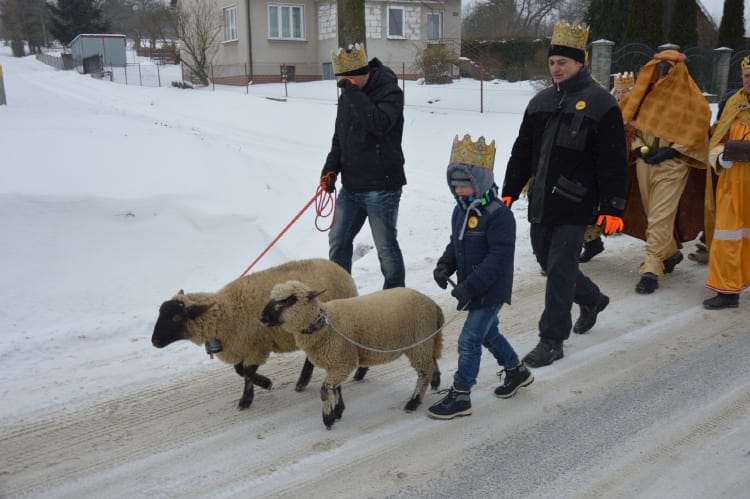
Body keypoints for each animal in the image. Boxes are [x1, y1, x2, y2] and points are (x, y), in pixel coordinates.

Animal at [151, 258, 362, 410]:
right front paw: (265, 382)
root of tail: (341, 270)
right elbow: (239, 369)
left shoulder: (256, 347)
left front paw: (247, 399)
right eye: (160, 312)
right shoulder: (239, 346)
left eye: (176, 317)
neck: (225, 313)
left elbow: (247, 371)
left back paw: (303, 381)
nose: (154, 341)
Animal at [260, 282, 444, 430]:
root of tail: (431, 303)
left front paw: (328, 418)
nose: (262, 317)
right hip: (425, 340)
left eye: (290, 300)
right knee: (432, 361)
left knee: (424, 371)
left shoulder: (343, 361)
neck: (324, 324)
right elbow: (336, 388)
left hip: (419, 341)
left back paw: (413, 402)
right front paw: (338, 410)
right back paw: (435, 381)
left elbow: (325, 390)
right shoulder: (336, 361)